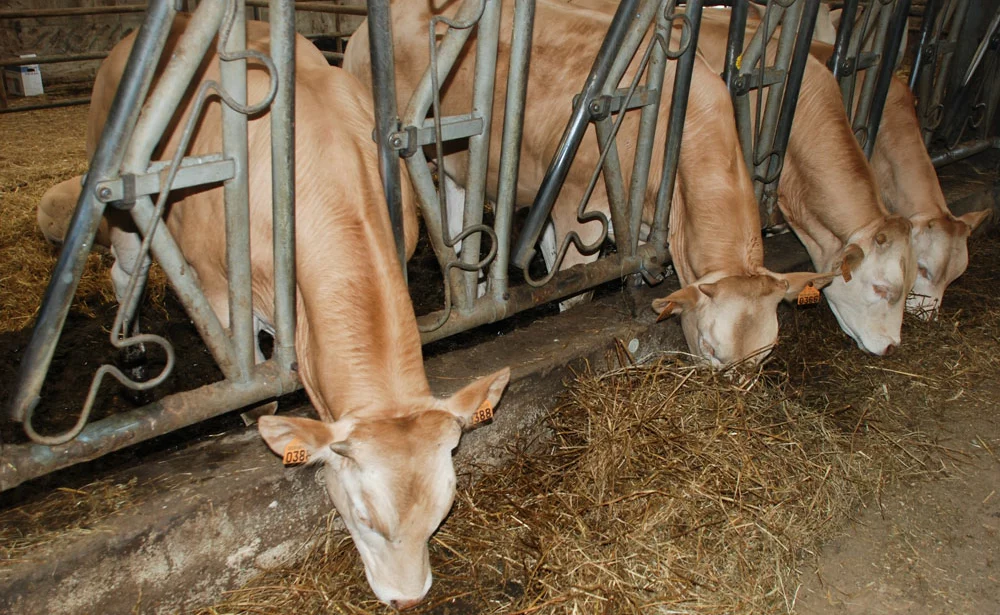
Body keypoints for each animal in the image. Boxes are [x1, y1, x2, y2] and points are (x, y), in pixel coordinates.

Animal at [74, 13, 512, 608]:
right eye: (365, 518)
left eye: (441, 511)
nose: (409, 599)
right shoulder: (220, 291)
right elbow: (255, 375)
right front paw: (251, 411)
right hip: (121, 202)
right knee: (125, 272)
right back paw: (137, 355)